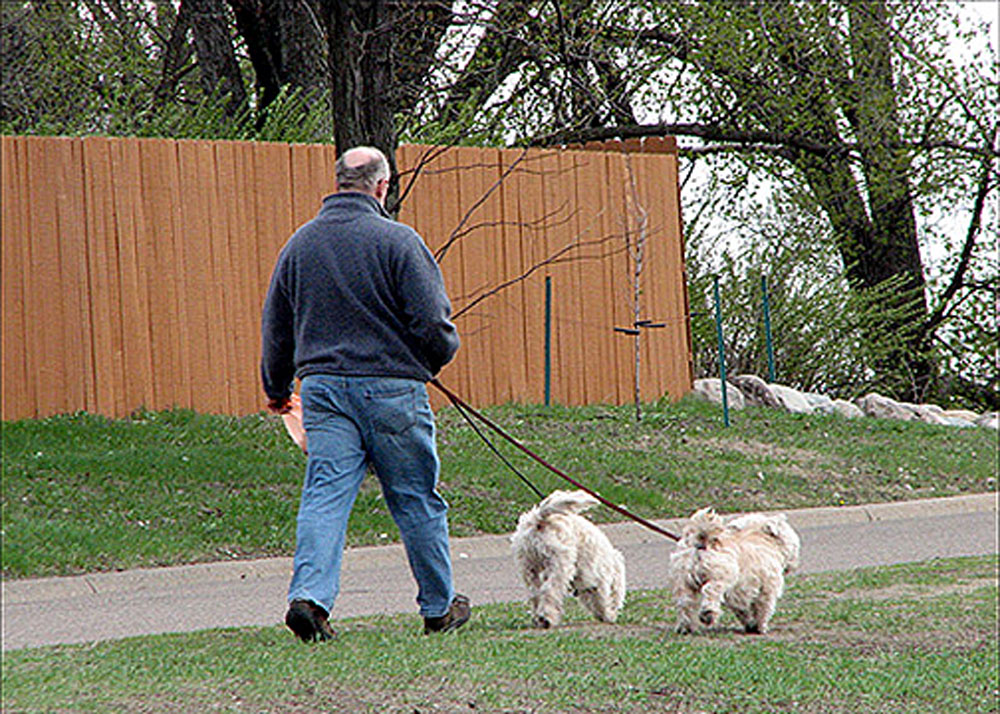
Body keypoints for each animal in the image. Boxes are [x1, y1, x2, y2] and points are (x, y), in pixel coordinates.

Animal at [516, 486, 624, 624]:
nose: (617, 608)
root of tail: (539, 519)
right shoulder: (599, 579)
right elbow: (601, 598)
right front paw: (607, 614)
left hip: (529, 566)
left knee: (535, 592)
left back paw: (538, 618)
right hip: (560, 564)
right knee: (549, 590)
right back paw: (547, 617)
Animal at [668, 506, 800, 636]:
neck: (762, 538)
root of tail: (702, 542)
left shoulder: (740, 591)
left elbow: (742, 608)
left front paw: (750, 624)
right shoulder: (767, 587)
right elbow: (763, 607)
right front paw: (761, 626)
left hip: (683, 580)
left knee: (685, 602)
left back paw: (685, 626)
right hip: (720, 575)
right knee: (710, 591)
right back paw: (708, 614)